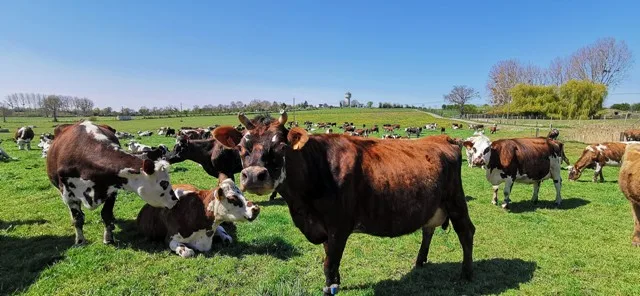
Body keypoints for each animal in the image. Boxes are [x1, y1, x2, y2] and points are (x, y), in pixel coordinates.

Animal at [46, 121, 179, 244]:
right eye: (164, 183)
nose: (175, 200)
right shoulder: (68, 195)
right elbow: (78, 219)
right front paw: (80, 241)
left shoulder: (112, 190)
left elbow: (106, 214)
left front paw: (108, 237)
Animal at [214, 112, 476, 294]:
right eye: (241, 147)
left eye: (281, 146)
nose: (254, 175)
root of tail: (444, 137)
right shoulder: (323, 226)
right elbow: (329, 256)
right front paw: (335, 282)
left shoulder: (339, 226)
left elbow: (329, 262)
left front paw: (330, 287)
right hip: (433, 204)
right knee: (428, 229)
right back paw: (420, 260)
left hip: (455, 200)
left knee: (466, 231)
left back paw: (466, 273)